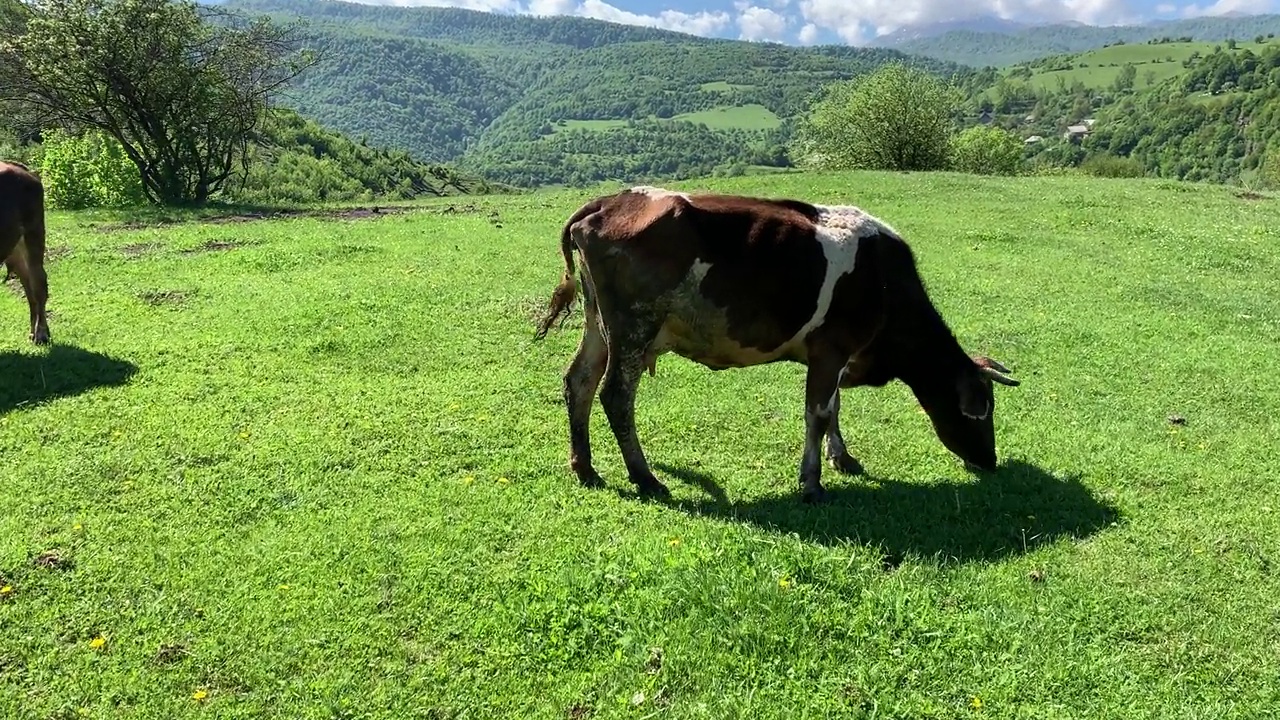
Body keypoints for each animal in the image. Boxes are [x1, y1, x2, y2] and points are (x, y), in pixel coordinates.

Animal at [532, 181, 1018, 502]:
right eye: (982, 411)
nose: (990, 461)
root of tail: (611, 200)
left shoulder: (835, 356)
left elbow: (834, 406)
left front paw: (842, 457)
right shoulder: (832, 350)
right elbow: (818, 413)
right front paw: (812, 483)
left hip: (600, 323)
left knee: (579, 382)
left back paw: (585, 467)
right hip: (634, 325)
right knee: (615, 395)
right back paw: (645, 477)